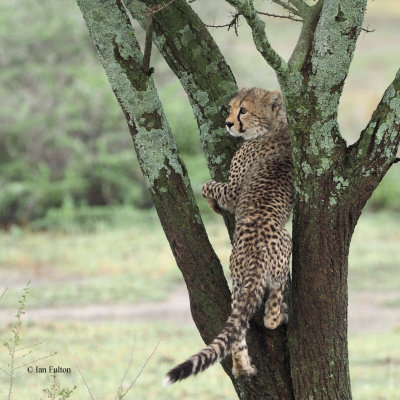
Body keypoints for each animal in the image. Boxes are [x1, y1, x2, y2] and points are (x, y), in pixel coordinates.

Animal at [162, 86, 294, 384]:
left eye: (243, 110)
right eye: (230, 108)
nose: (228, 123)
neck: (275, 126)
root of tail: (256, 252)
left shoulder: (234, 191)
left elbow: (209, 185)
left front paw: (211, 201)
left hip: (249, 275)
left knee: (257, 322)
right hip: (252, 276)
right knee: (252, 323)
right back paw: (247, 362)